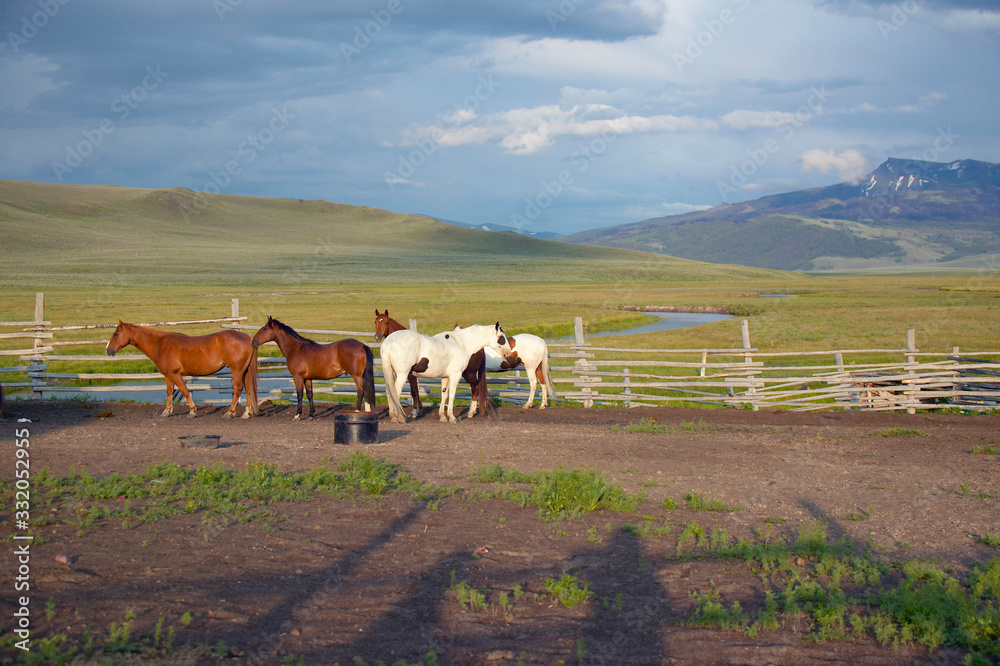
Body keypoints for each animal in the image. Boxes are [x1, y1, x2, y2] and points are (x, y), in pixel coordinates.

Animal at [106, 320, 260, 418]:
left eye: (116, 334)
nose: (108, 350)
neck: (160, 344)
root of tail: (248, 337)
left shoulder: (175, 374)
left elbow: (185, 391)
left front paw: (192, 411)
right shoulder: (167, 375)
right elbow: (169, 392)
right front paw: (167, 411)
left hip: (236, 370)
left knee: (238, 389)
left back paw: (229, 412)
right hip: (244, 371)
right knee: (248, 389)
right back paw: (246, 413)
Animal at [380, 322, 512, 426]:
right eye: (502, 337)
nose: (508, 354)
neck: (461, 344)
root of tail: (388, 342)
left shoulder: (445, 377)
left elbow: (444, 394)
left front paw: (443, 417)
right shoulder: (455, 375)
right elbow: (452, 395)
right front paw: (452, 417)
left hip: (392, 373)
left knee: (389, 391)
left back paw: (393, 416)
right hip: (402, 374)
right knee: (394, 392)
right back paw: (400, 417)